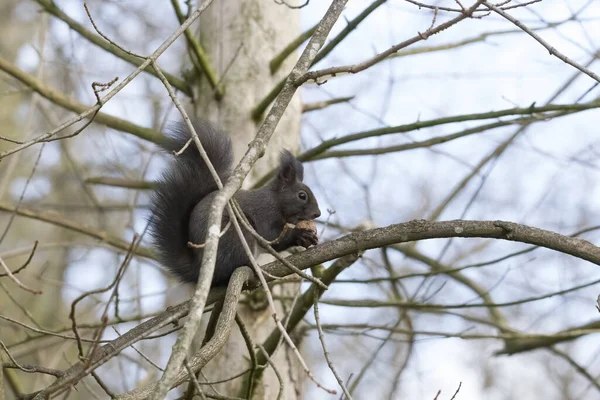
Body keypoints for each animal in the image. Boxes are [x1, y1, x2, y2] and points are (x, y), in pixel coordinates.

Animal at [148, 119, 322, 288]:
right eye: (302, 196)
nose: (317, 213)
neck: (276, 200)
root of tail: (199, 270)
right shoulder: (265, 211)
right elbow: (270, 237)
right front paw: (299, 235)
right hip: (235, 235)